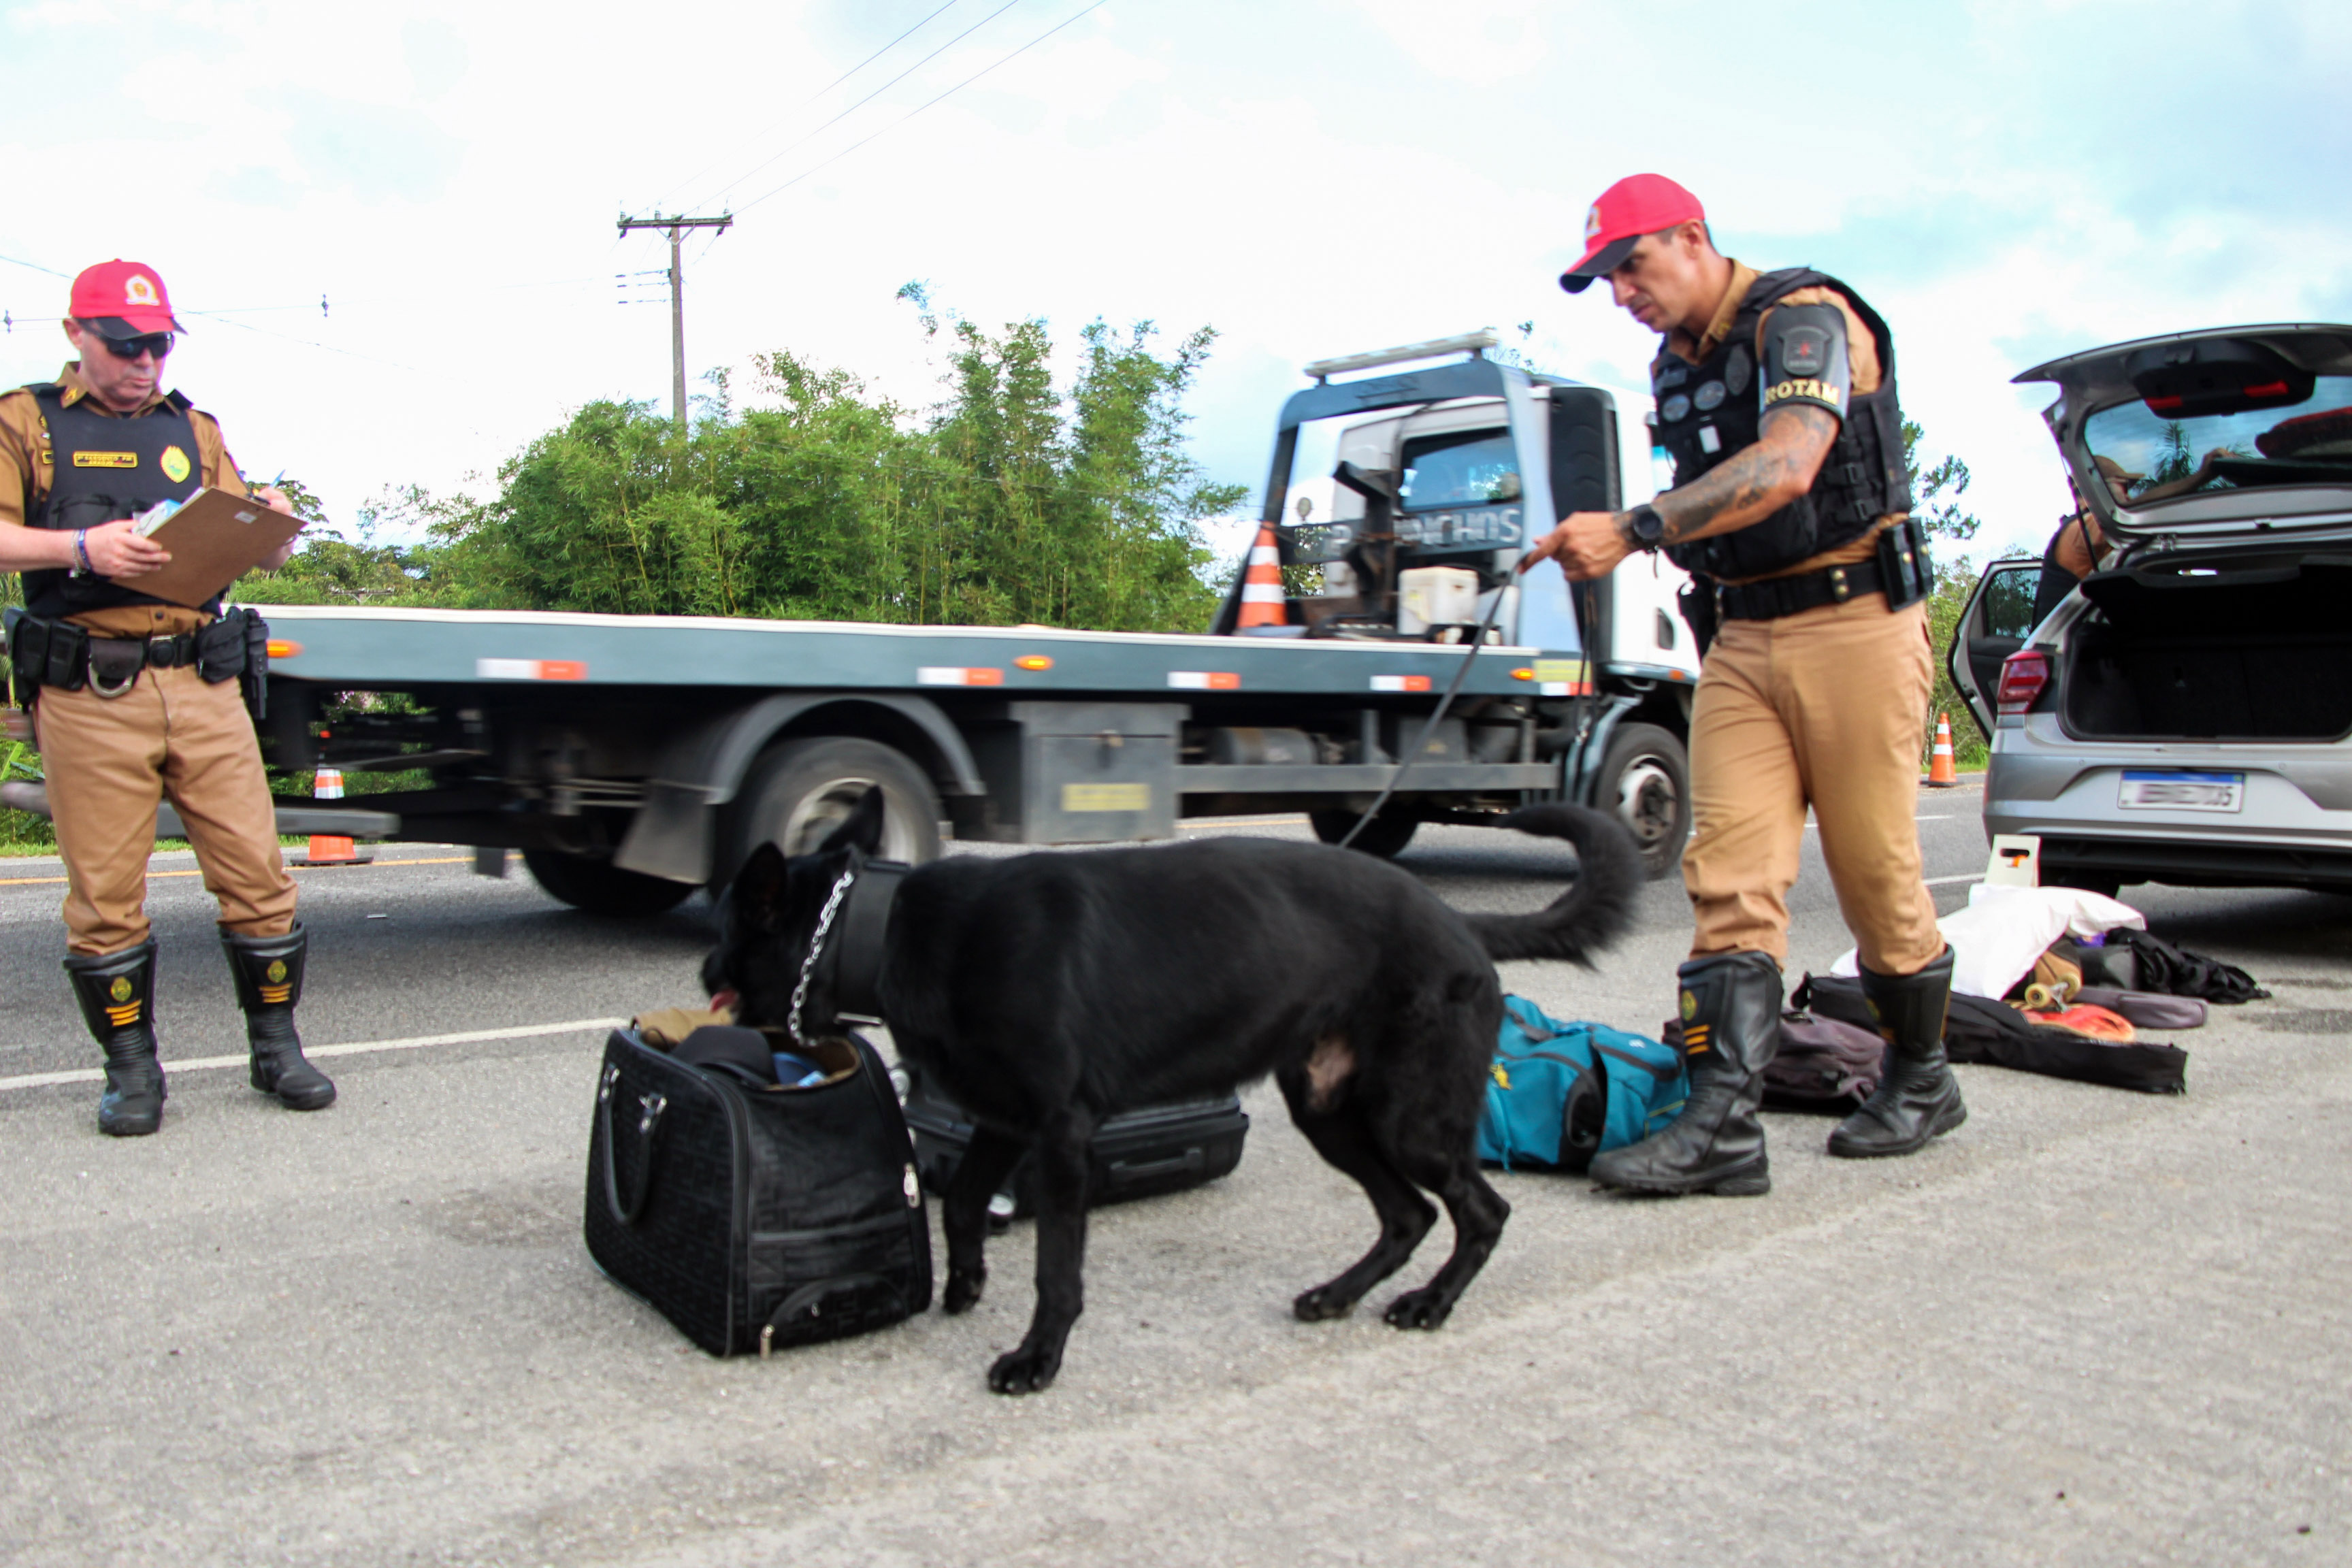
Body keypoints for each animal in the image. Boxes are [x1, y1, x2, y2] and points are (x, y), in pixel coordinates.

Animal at [700, 799, 1637, 1401]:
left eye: (728, 928)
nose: (704, 968)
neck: (892, 930)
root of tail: (1462, 924)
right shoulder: (1004, 1120)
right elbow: (962, 1203)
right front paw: (964, 1282)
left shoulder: (1060, 1136)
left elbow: (1056, 1271)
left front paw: (1037, 1360)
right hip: (1328, 1113)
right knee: (1407, 1215)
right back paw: (1338, 1296)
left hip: (1410, 1121)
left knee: (1481, 1212)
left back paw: (1430, 1306)